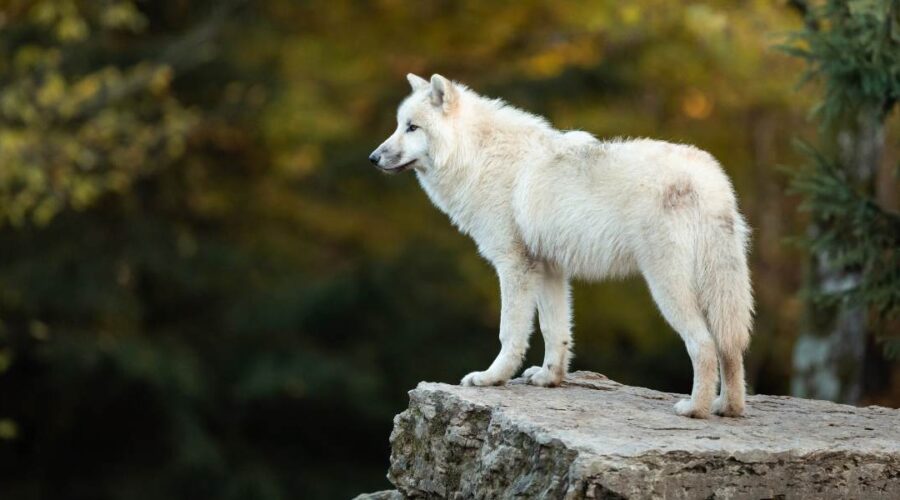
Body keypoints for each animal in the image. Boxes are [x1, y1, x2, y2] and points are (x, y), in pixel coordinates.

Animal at [370, 74, 753, 418]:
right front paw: (549, 378)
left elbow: (510, 333)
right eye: (399, 125)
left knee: (704, 345)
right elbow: (555, 331)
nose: (373, 157)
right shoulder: (550, 269)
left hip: (667, 288)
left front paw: (491, 378)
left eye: (412, 127)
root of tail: (709, 180)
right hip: (718, 290)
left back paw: (695, 409)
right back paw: (728, 408)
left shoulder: (514, 266)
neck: (478, 156)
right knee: (730, 348)